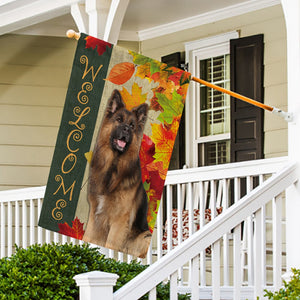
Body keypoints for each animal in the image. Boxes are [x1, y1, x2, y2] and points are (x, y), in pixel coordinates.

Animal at [83, 88, 151, 256]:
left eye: (132, 125)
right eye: (119, 120)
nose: (126, 129)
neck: (113, 166)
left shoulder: (119, 222)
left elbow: (111, 245)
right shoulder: (95, 217)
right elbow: (88, 238)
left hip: (145, 236)